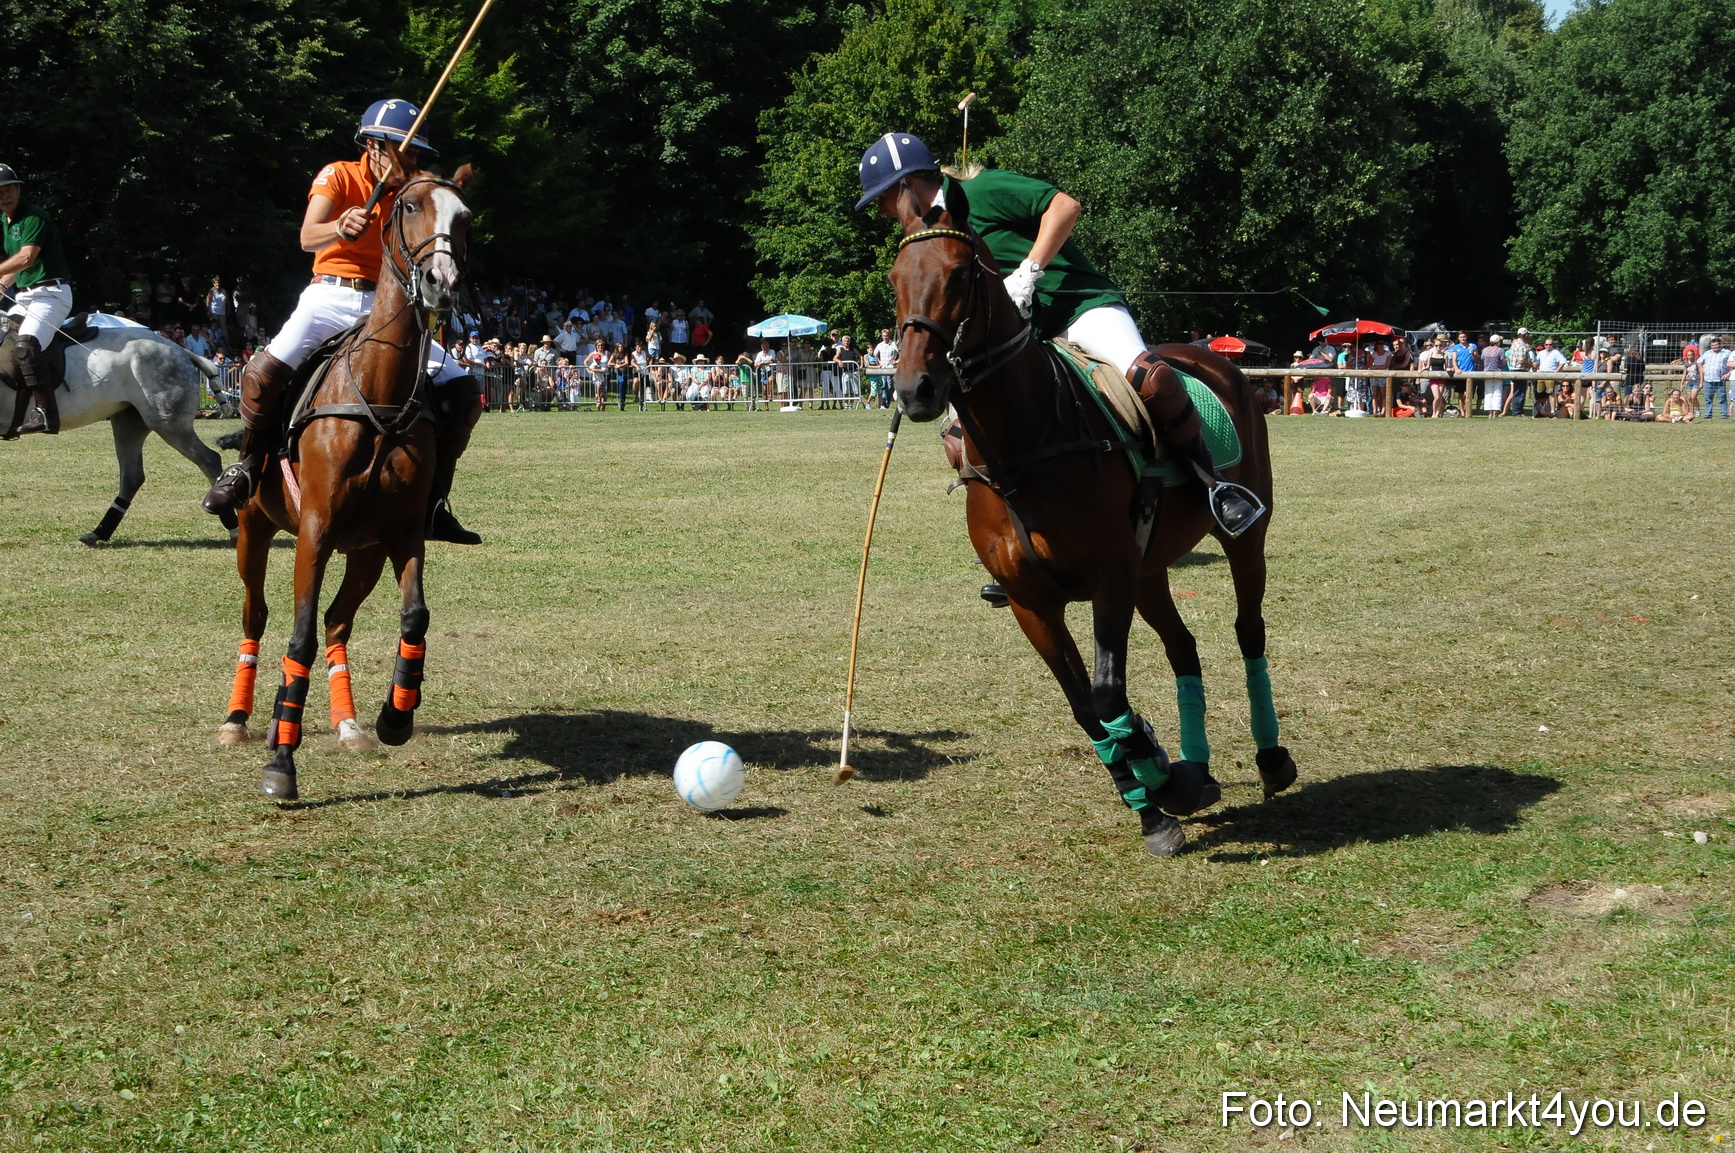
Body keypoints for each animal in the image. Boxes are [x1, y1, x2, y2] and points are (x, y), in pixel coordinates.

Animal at [0, 320, 235, 544]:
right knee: (132, 477)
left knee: (209, 460)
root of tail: (180, 350)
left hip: (169, 424)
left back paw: (233, 527)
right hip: (129, 422)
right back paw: (98, 533)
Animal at [887, 198, 1297, 857]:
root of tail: (1215, 358)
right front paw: (1160, 794)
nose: (915, 389)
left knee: (1248, 628)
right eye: (896, 279)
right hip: (1150, 569)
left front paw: (1160, 783)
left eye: (959, 274)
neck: (1022, 450)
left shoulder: (1108, 577)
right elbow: (1086, 706)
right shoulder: (1032, 600)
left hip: (1242, 538)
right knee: (1184, 646)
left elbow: (1107, 693)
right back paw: (1197, 766)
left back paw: (1272, 759)